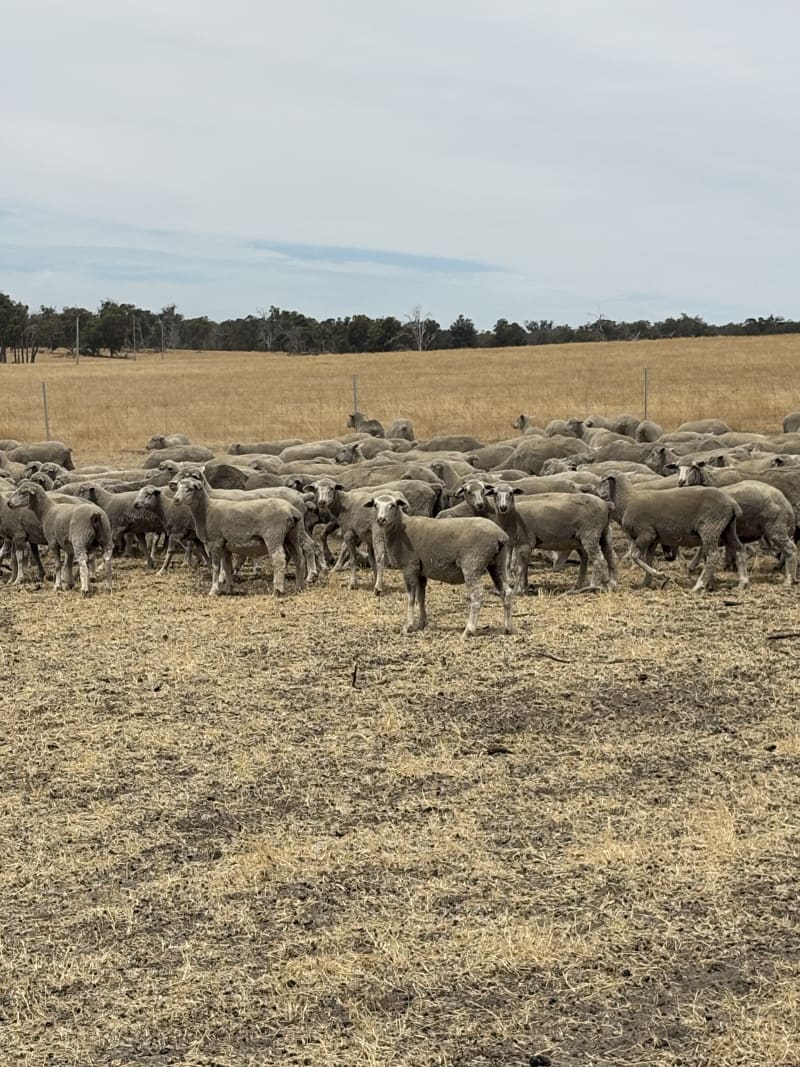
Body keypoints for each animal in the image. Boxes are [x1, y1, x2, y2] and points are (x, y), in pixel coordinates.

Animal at [172, 473, 306, 596]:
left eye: (190, 489)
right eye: (178, 487)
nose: (176, 500)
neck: (206, 511)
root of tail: (292, 510)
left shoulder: (215, 542)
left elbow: (216, 567)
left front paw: (214, 590)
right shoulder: (225, 546)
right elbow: (227, 566)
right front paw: (229, 589)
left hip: (273, 536)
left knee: (279, 560)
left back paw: (277, 590)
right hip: (292, 536)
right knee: (299, 558)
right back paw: (299, 587)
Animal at [364, 492, 513, 637]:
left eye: (393, 505)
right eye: (376, 505)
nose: (381, 520)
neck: (400, 528)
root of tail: (500, 535)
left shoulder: (410, 566)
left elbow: (411, 598)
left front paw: (408, 626)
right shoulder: (421, 571)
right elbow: (421, 597)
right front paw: (421, 624)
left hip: (473, 564)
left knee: (477, 597)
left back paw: (469, 630)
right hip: (497, 563)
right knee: (506, 591)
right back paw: (507, 628)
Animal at [486, 482, 616, 592]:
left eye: (511, 493)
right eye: (495, 493)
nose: (503, 507)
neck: (513, 517)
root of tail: (605, 505)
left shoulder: (525, 543)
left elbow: (518, 567)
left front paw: (518, 590)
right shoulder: (517, 543)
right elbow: (518, 566)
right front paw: (524, 587)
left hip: (590, 533)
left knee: (598, 559)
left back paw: (593, 585)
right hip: (603, 533)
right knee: (610, 556)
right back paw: (611, 584)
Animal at [596, 472, 748, 591]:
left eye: (603, 481)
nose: (598, 494)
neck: (627, 501)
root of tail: (732, 504)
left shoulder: (646, 533)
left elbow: (635, 556)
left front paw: (661, 576)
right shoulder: (654, 539)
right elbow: (648, 559)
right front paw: (645, 583)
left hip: (710, 527)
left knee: (712, 555)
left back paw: (699, 585)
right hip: (727, 528)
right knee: (739, 548)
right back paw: (742, 582)